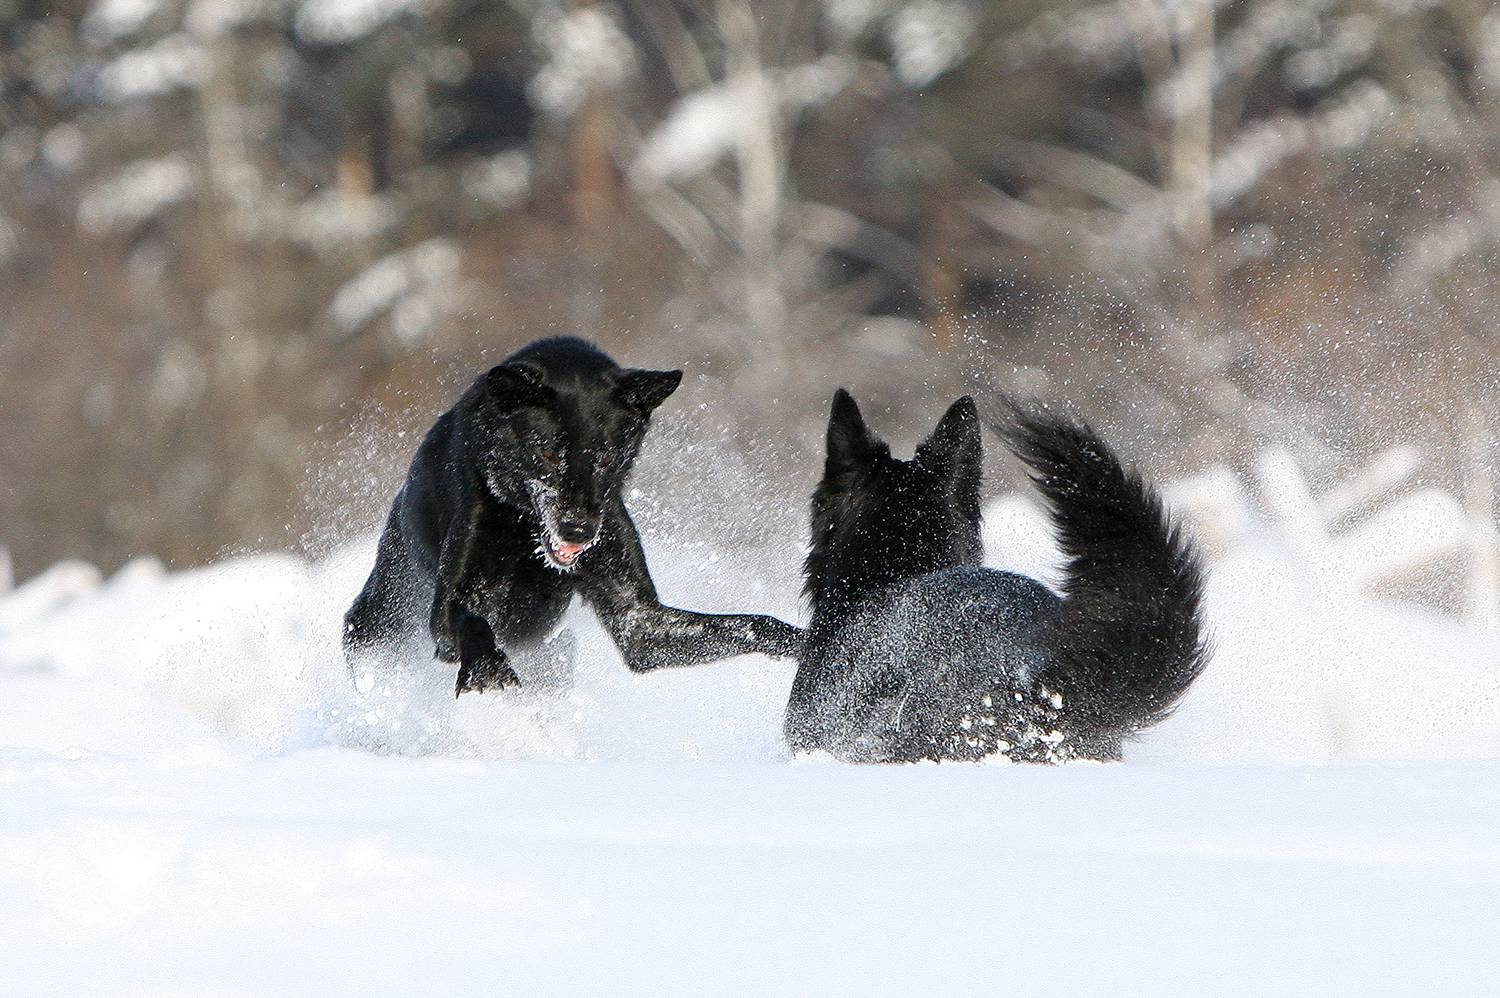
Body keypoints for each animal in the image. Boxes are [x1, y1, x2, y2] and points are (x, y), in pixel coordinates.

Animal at [344, 336, 803, 695]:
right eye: (547, 452)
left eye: (606, 458)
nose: (578, 530)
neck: (525, 526)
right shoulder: (445, 612)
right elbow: (472, 621)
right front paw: (489, 670)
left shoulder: (640, 622)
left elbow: (756, 624)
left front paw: (813, 649)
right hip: (377, 632)